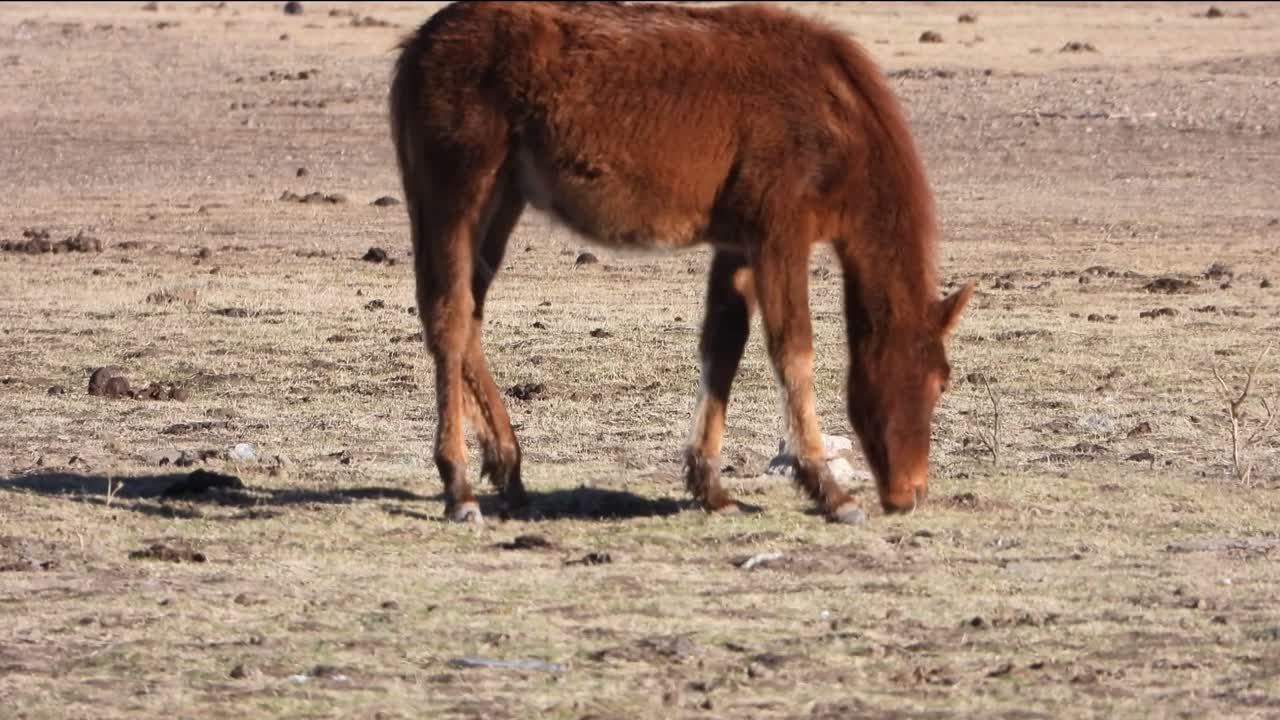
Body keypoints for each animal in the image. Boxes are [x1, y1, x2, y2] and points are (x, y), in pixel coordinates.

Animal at [388, 1, 973, 525]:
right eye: (937, 381)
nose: (909, 494)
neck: (833, 112)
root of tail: (418, 46)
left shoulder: (738, 245)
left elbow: (723, 348)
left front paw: (711, 487)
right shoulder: (780, 234)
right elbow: (793, 351)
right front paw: (830, 491)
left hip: (501, 201)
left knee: (468, 317)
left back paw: (508, 472)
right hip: (457, 195)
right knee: (448, 318)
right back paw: (460, 489)